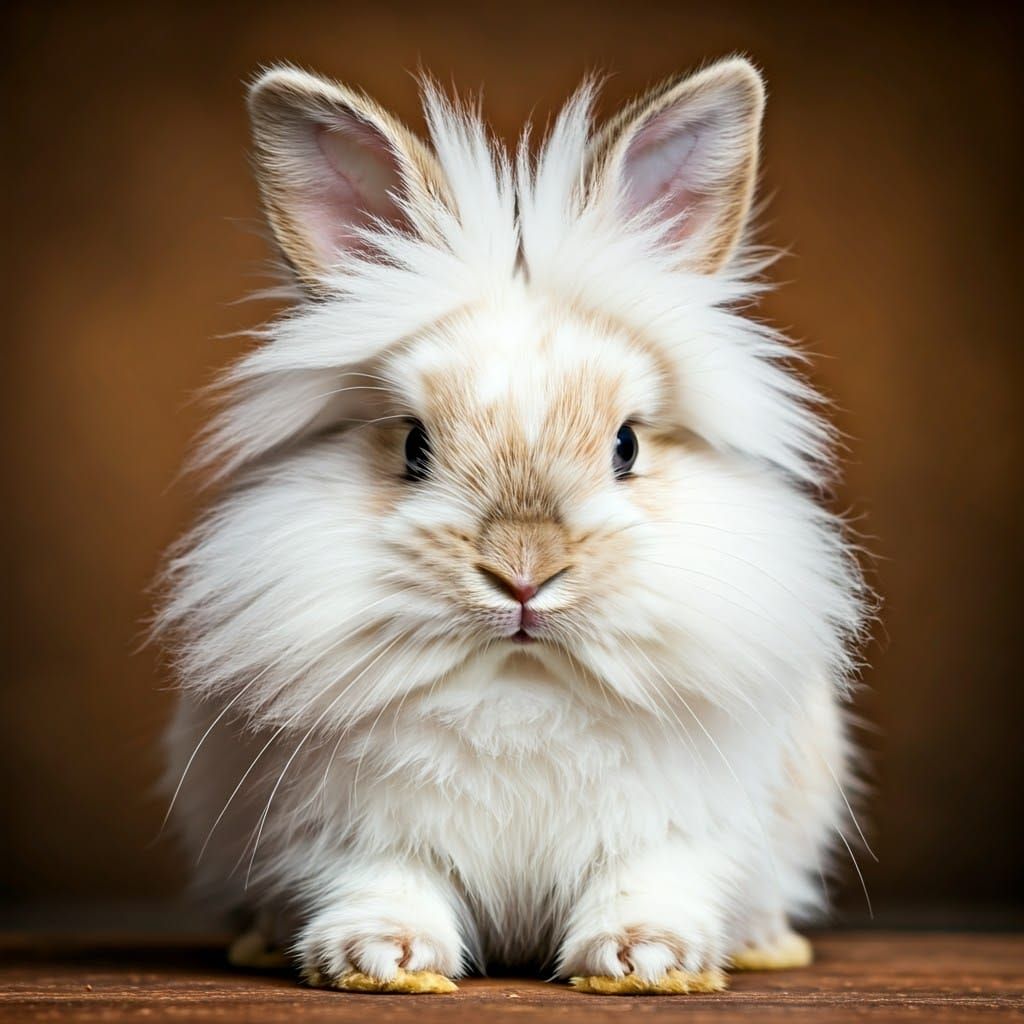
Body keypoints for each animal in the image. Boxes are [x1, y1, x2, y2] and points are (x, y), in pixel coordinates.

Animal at [157, 56, 870, 995]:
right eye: (414, 446)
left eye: (626, 444)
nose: (524, 574)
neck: (520, 682)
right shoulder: (346, 828)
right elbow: (384, 879)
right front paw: (377, 957)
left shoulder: (684, 824)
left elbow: (652, 876)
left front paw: (644, 958)